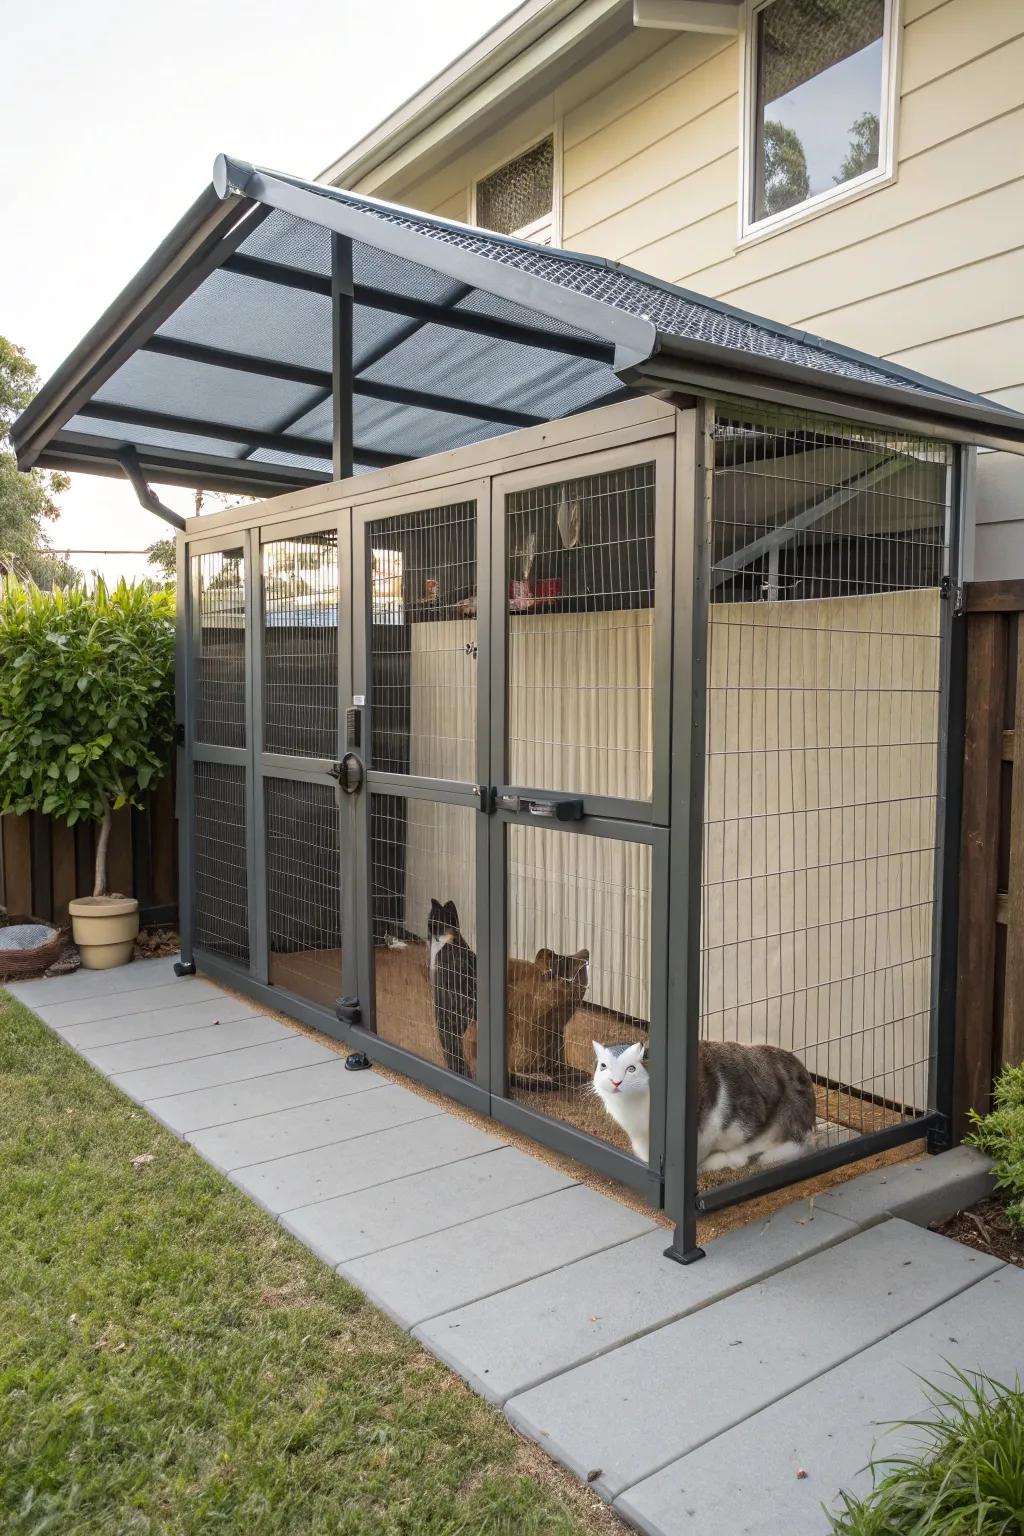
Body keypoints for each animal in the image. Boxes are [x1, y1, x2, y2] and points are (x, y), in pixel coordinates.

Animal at [592, 1038, 816, 1167]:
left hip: (775, 1123)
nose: (615, 1082)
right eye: (603, 1066)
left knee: (753, 1154)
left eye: (631, 1068)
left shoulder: (708, 1128)